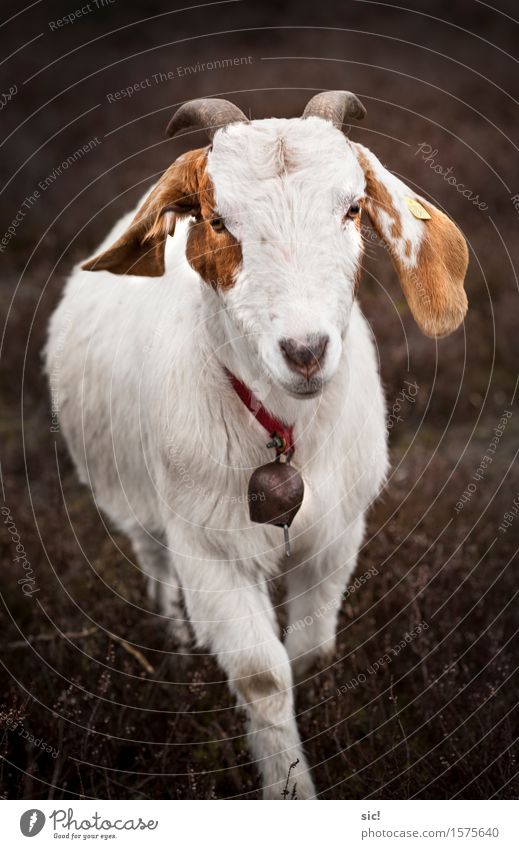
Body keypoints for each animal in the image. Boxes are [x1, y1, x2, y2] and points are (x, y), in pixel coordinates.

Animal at [45, 94, 472, 800]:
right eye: (217, 220)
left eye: (353, 208)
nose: (305, 351)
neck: (282, 431)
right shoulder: (207, 548)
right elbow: (262, 676)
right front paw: (289, 790)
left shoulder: (336, 532)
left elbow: (308, 649)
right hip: (132, 501)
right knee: (153, 561)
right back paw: (177, 646)